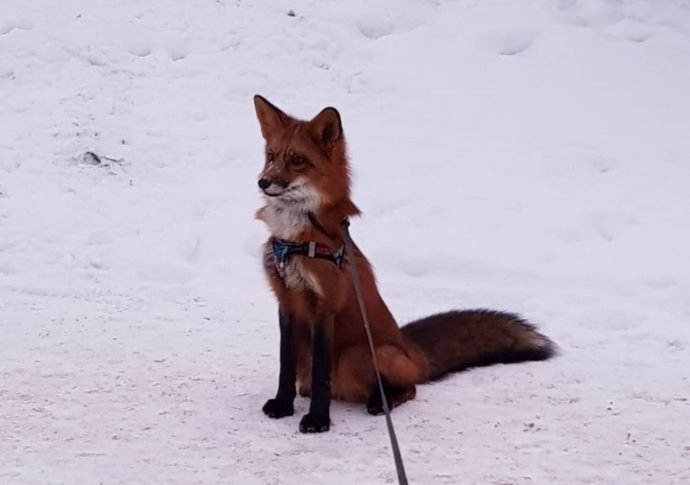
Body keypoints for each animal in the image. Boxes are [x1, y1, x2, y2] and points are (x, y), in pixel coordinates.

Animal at [253, 93, 552, 432]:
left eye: (297, 160)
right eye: (271, 156)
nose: (263, 182)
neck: (295, 241)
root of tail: (408, 347)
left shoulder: (324, 307)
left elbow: (321, 379)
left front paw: (318, 419)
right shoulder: (287, 302)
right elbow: (285, 364)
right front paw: (282, 404)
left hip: (358, 356)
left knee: (409, 387)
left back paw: (381, 402)